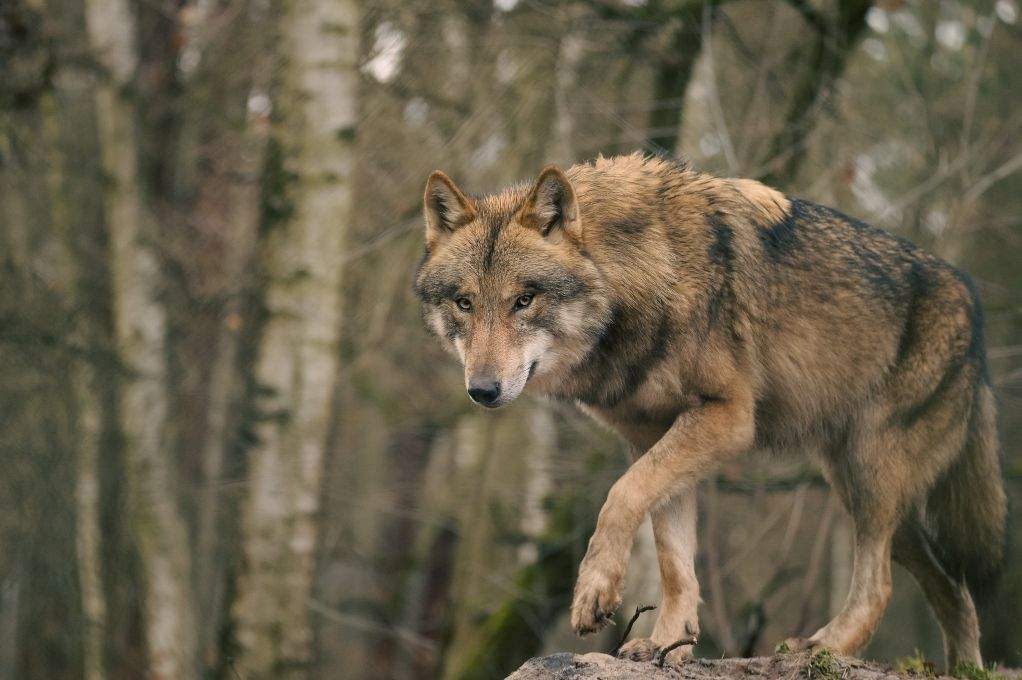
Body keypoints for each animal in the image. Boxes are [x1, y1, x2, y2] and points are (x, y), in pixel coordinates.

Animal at [412, 153, 1006, 667]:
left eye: (523, 300)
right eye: (464, 303)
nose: (482, 390)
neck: (646, 274)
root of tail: (974, 306)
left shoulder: (725, 418)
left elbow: (620, 496)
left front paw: (595, 591)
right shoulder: (652, 437)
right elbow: (674, 558)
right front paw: (667, 644)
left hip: (870, 479)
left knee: (881, 584)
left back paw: (826, 647)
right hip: (866, 494)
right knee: (952, 589)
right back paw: (959, 667)